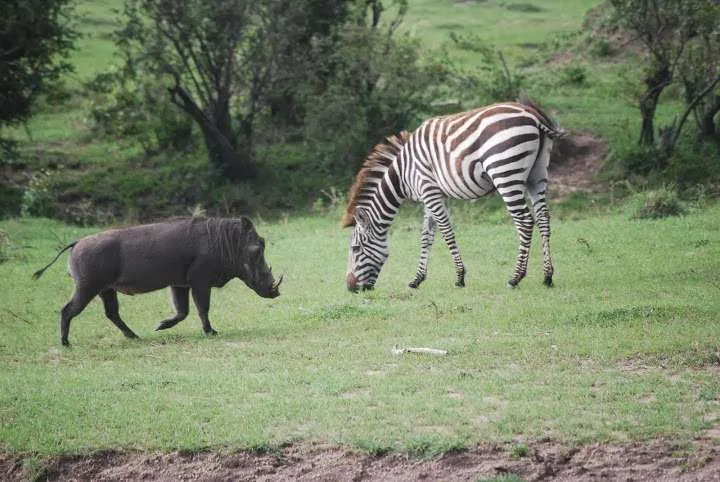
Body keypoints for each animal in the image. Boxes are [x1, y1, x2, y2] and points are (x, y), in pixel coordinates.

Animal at [343, 96, 566, 292]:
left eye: (355, 249)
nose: (350, 288)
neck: (402, 173)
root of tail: (531, 114)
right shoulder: (431, 194)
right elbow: (426, 236)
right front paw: (417, 279)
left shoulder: (429, 190)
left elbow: (446, 231)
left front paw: (459, 277)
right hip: (536, 175)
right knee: (543, 218)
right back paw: (547, 276)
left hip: (505, 172)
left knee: (525, 221)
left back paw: (515, 278)